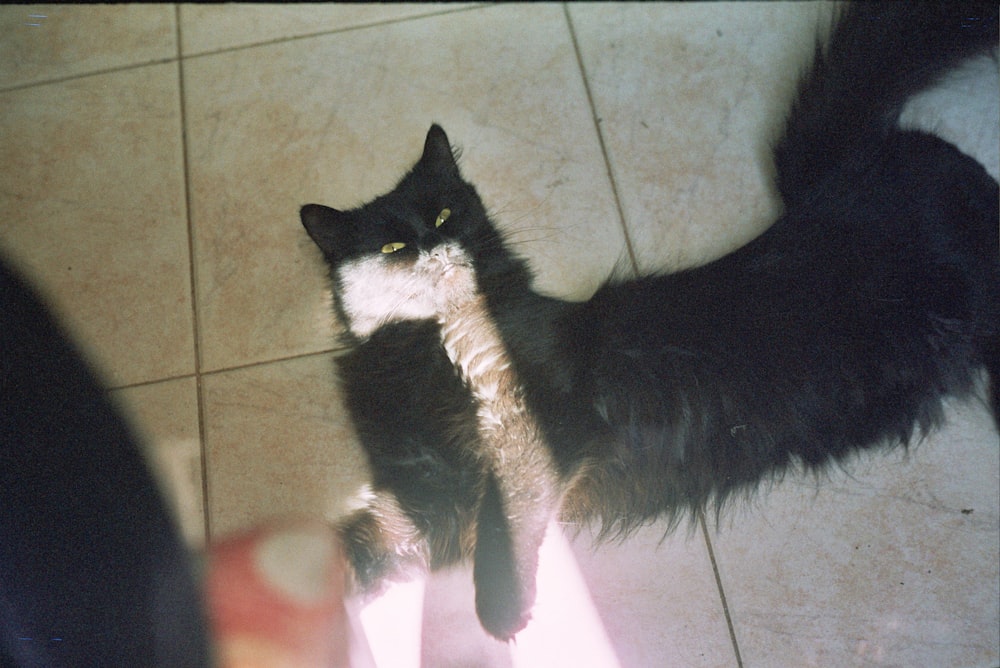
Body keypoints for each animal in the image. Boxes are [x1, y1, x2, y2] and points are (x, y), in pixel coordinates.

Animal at [298, 1, 1000, 640]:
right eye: (391, 248)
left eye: (444, 213)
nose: (435, 246)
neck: (423, 345)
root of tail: (855, 160)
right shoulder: (424, 496)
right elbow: (354, 544)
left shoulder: (537, 424)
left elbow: (505, 516)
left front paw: (502, 611)